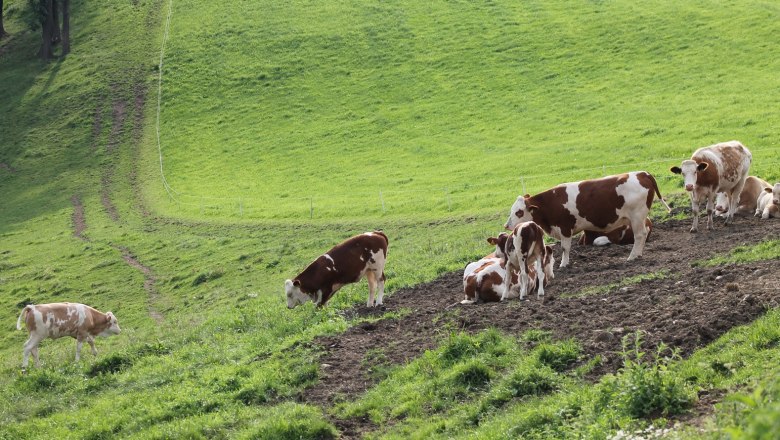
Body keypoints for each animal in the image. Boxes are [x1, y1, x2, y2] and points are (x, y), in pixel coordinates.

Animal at [506, 172, 672, 268]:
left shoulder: (565, 228)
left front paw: (563, 264)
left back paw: (632, 256)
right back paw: (638, 254)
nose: (506, 225)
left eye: (519, 212)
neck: (551, 203)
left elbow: (565, 248)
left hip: (637, 216)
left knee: (639, 236)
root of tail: (641, 173)